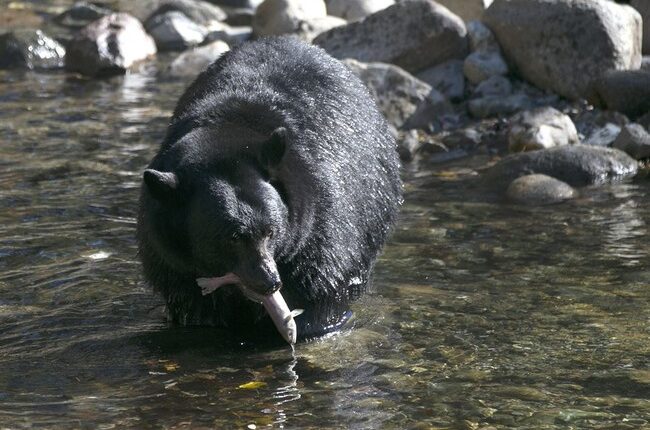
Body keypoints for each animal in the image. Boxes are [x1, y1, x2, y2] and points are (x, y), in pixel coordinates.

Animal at [137, 37, 402, 342]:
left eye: (271, 231)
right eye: (232, 237)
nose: (270, 282)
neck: (224, 133)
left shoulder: (320, 222)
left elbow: (322, 283)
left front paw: (310, 322)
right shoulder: (169, 256)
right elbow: (192, 303)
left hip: (376, 201)